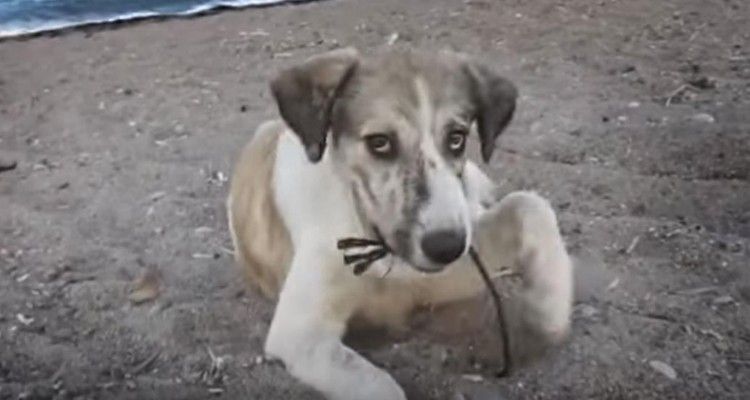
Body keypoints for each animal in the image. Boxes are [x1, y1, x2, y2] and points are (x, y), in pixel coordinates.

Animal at [229, 47, 576, 400]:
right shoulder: (301, 335)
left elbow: (530, 207)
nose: (446, 247)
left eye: (457, 138)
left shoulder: (449, 268)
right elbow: (377, 385)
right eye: (379, 142)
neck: (380, 249)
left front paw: (540, 316)